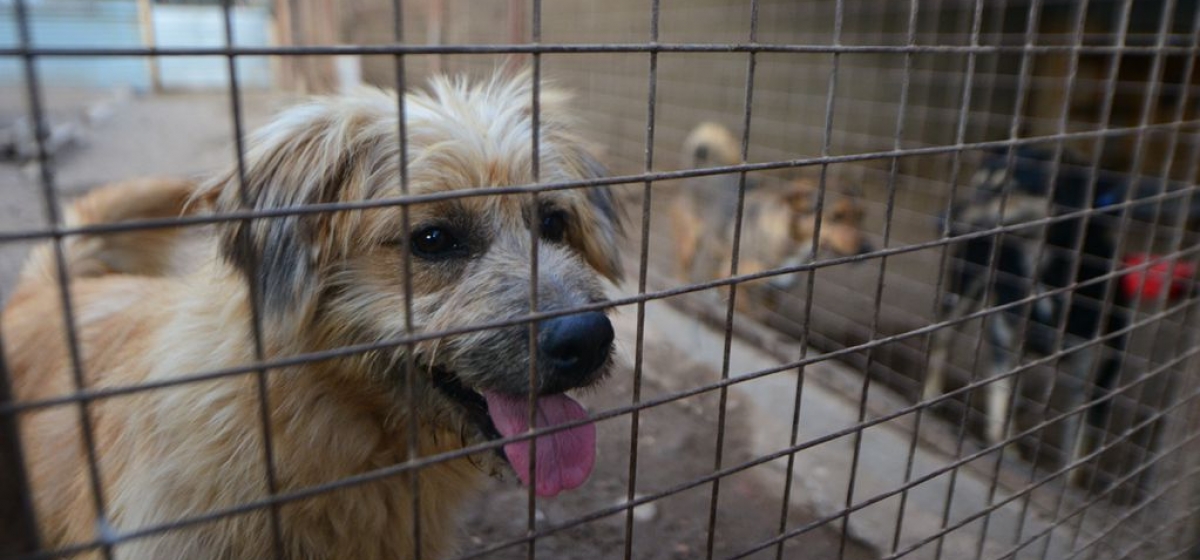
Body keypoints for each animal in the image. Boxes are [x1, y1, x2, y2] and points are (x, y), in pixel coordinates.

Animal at [667, 122, 873, 298]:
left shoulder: (773, 293)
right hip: (688, 241)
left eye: (862, 216)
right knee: (684, 267)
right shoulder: (734, 282)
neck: (796, 246)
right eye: (836, 216)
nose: (867, 249)